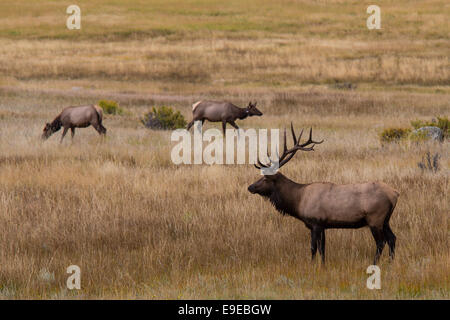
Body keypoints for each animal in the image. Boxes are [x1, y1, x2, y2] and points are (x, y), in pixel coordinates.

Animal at [248, 124, 400, 264]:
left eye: (265, 178)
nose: (250, 187)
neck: (298, 201)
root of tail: (395, 194)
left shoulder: (315, 222)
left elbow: (313, 248)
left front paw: (312, 265)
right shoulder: (323, 225)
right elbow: (323, 248)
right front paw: (322, 265)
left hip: (375, 218)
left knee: (381, 242)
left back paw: (375, 263)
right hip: (386, 220)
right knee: (392, 238)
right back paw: (391, 263)